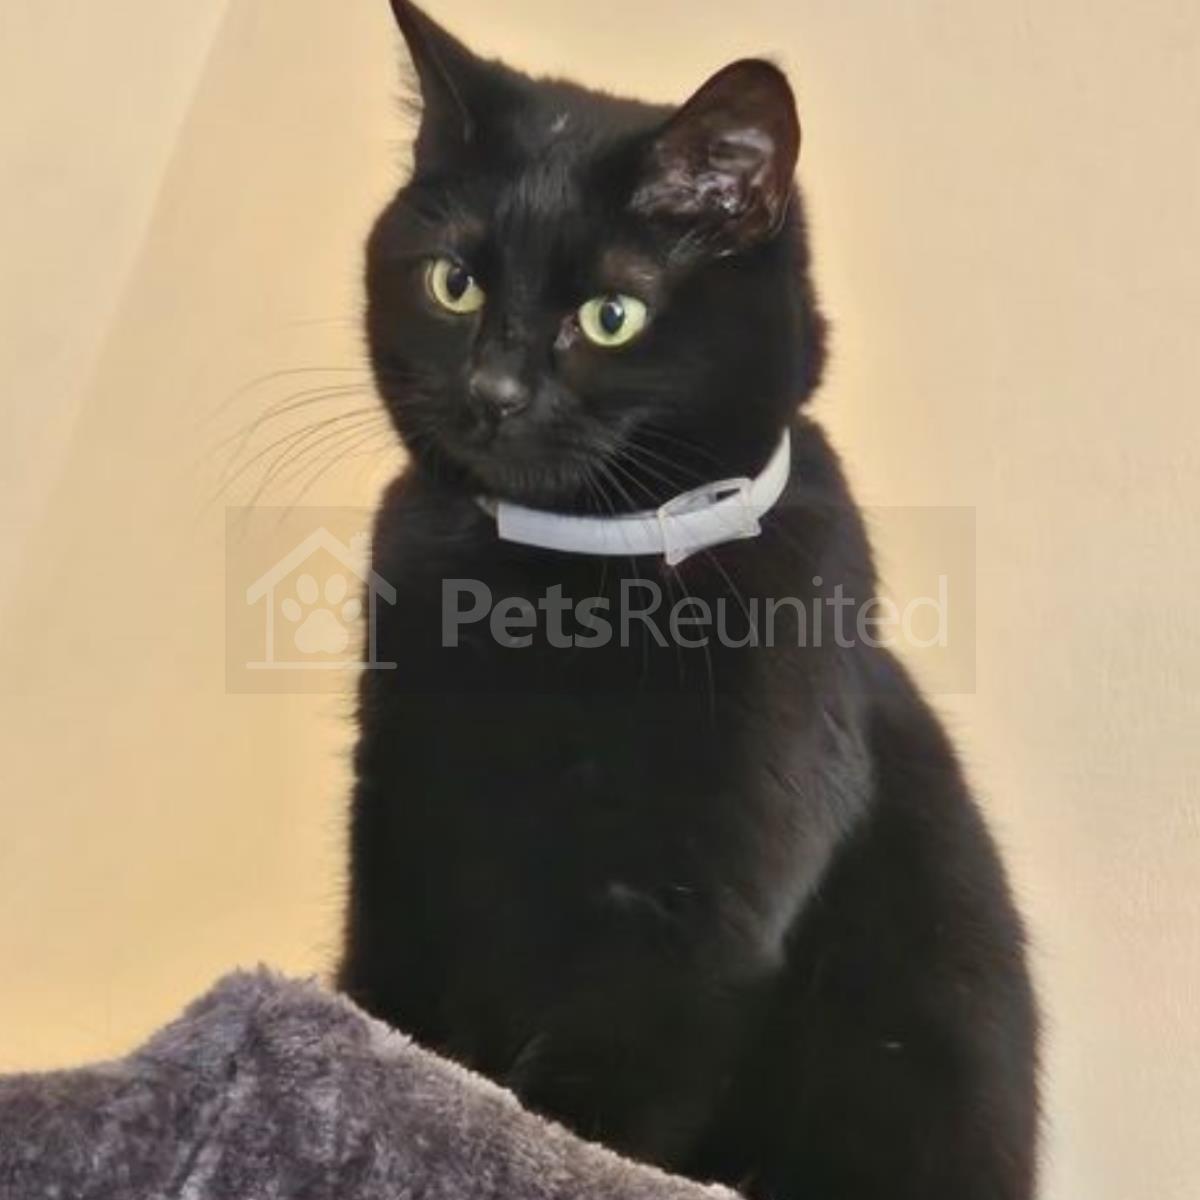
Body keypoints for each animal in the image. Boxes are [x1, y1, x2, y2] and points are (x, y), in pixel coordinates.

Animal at [338, 3, 1040, 1197]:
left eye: (611, 314)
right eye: (452, 284)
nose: (492, 393)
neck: (560, 584)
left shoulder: (695, 916)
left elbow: (594, 1106)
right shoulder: (400, 821)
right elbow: (389, 1002)